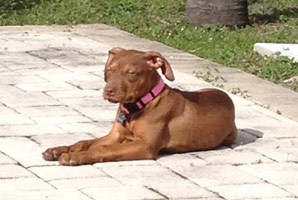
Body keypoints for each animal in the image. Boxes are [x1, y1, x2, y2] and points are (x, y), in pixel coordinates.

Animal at [42, 47, 237, 166]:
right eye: (109, 70)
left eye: (131, 73)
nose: (108, 91)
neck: (138, 107)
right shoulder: (115, 135)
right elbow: (85, 142)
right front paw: (59, 150)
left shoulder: (145, 145)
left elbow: (104, 149)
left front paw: (75, 156)